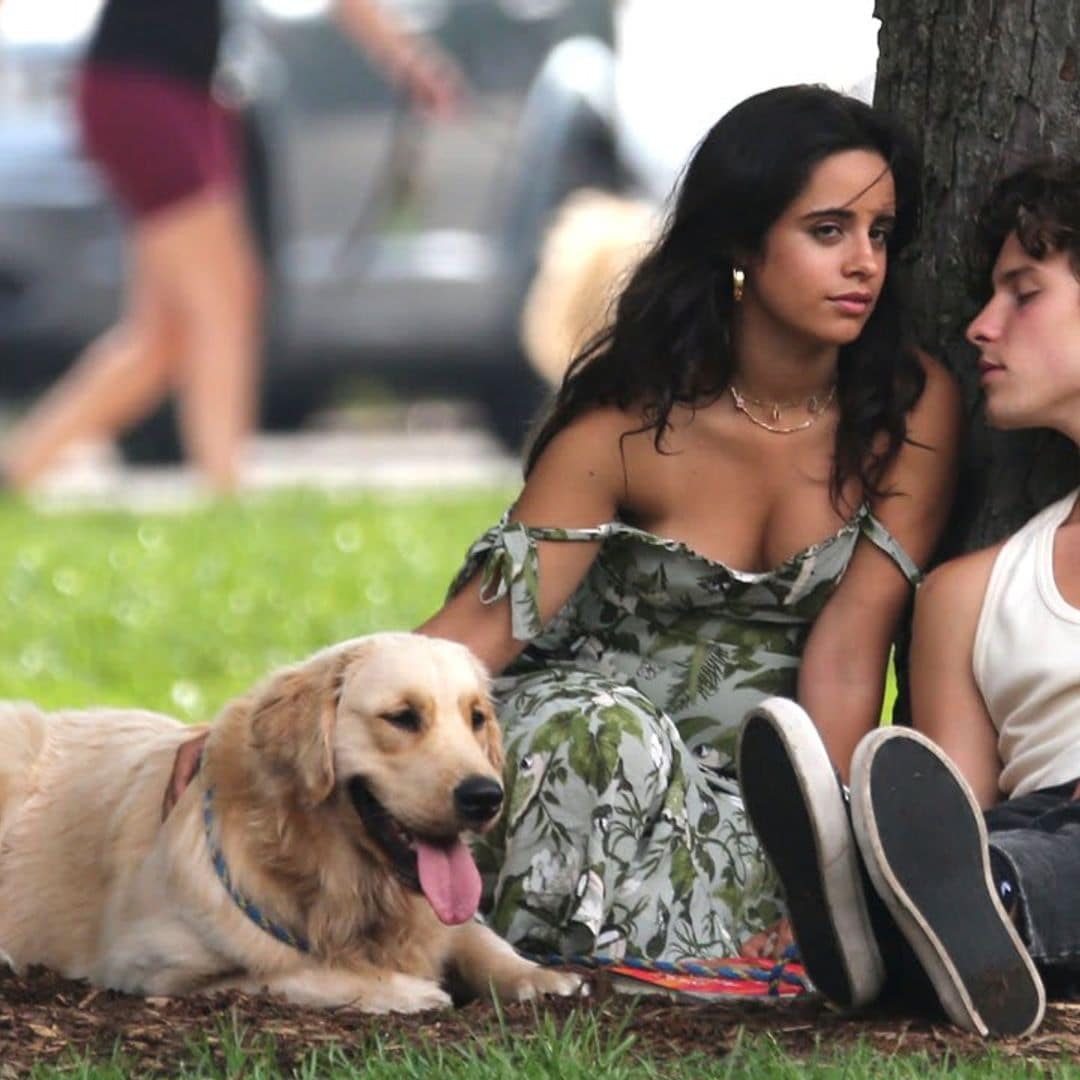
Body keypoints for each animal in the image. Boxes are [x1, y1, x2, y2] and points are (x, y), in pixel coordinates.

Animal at [0, 630, 578, 1010]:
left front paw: (536, 975)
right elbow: (294, 969)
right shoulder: (148, 961)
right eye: (403, 717)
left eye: (477, 717)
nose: (486, 796)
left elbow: (476, 936)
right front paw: (406, 990)